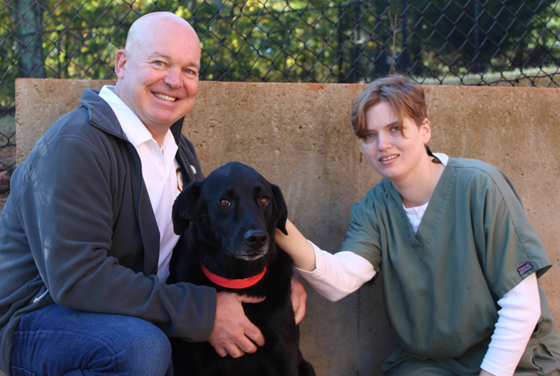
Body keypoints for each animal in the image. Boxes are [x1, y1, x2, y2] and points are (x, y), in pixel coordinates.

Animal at [167, 162, 316, 376]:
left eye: (263, 200)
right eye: (224, 202)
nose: (258, 239)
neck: (238, 280)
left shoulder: (285, 358)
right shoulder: (200, 364)